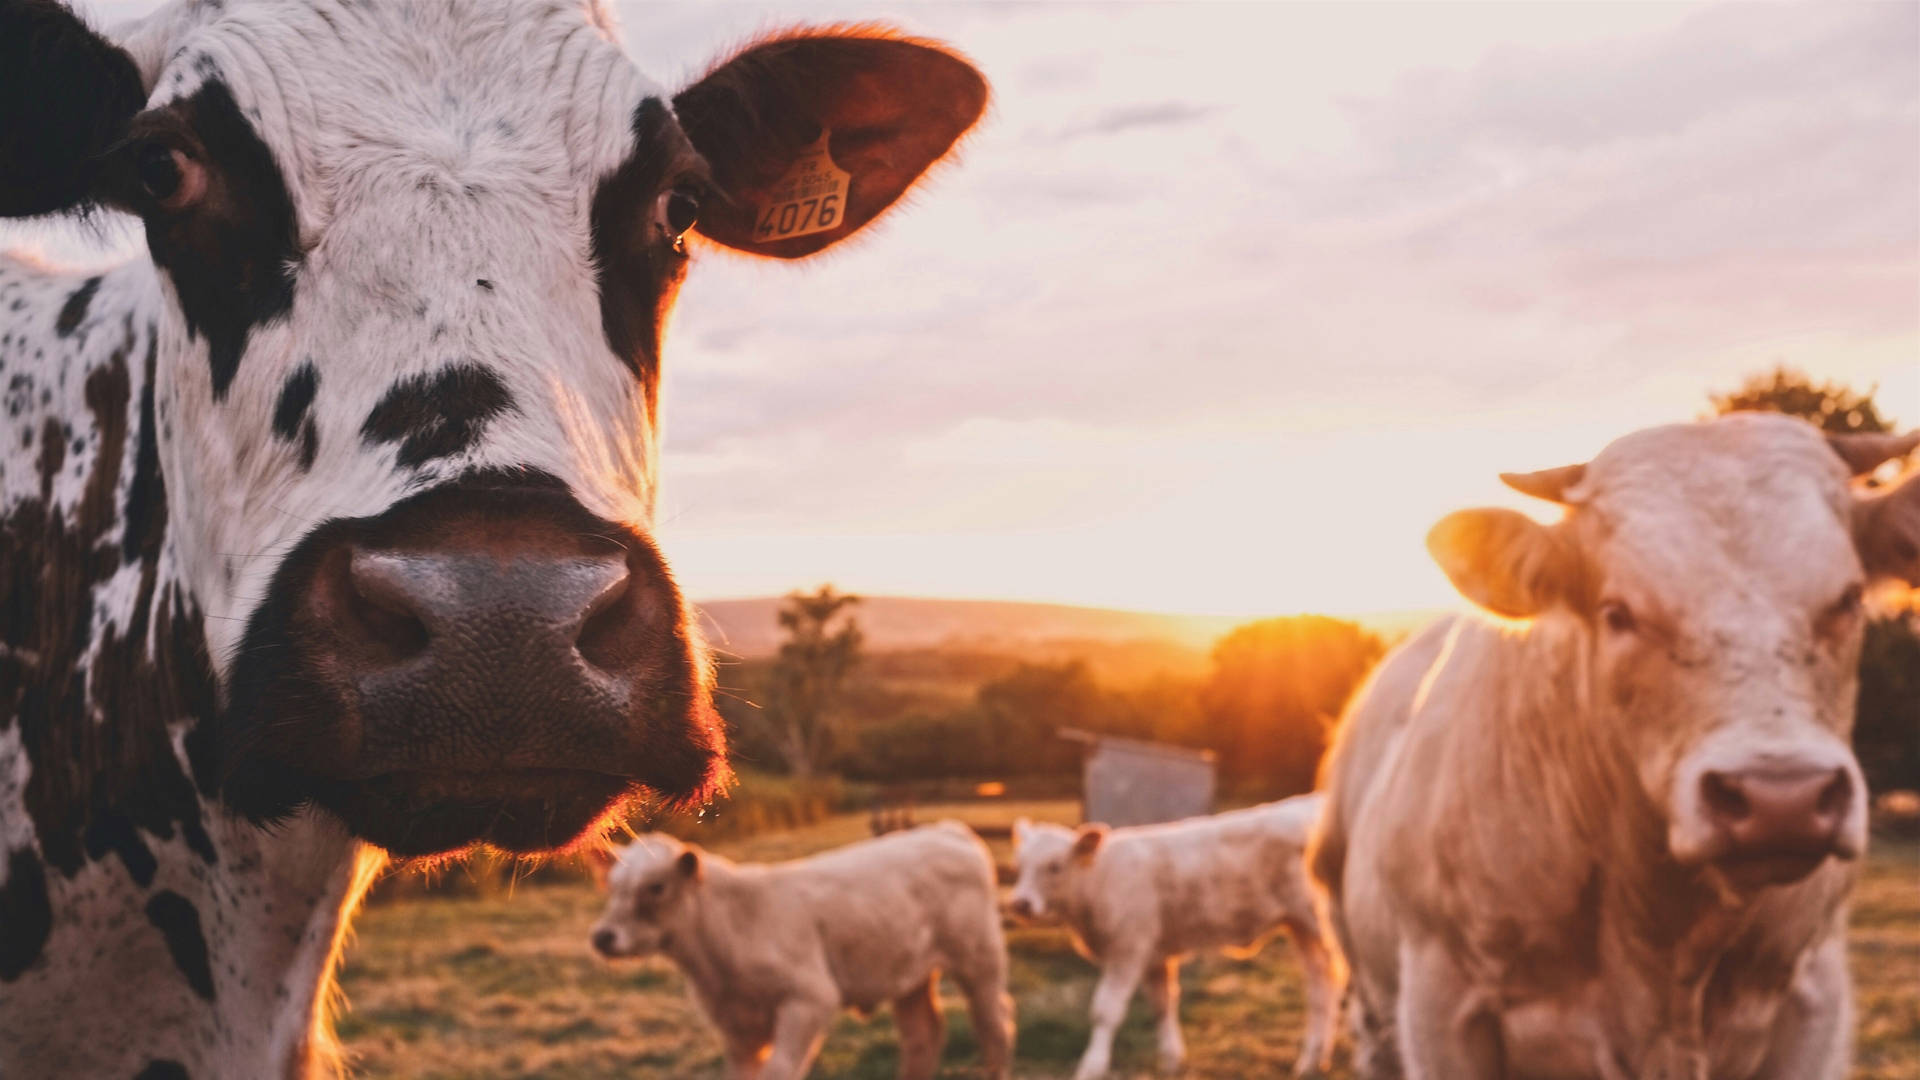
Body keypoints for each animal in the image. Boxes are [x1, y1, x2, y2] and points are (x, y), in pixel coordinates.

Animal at [595, 818, 1021, 1068]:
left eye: (656, 887)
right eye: (612, 885)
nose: (602, 937)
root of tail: (946, 830)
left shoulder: (809, 999)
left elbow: (781, 1070)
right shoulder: (735, 1028)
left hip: (980, 961)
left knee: (995, 1027)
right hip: (910, 975)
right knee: (923, 1037)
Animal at [1013, 795, 1344, 1068]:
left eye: (1055, 866)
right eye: (1020, 865)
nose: (1020, 903)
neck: (1099, 878)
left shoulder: (1128, 949)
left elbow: (1105, 1010)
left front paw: (1091, 1066)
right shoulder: (1154, 955)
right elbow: (1163, 1005)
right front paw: (1171, 1059)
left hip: (1322, 923)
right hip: (1301, 927)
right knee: (1321, 985)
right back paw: (1313, 1060)